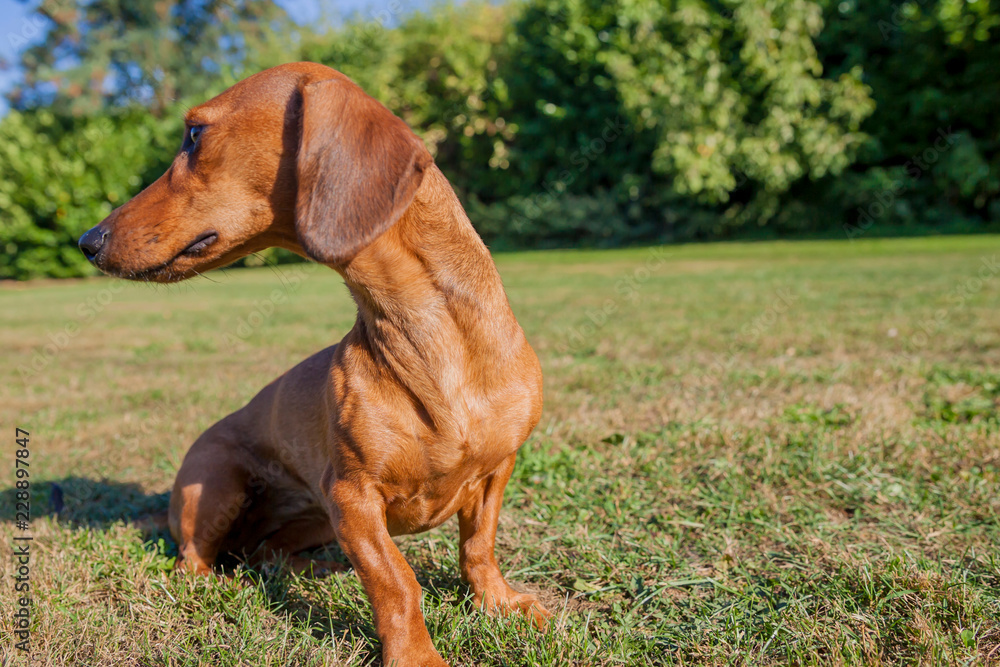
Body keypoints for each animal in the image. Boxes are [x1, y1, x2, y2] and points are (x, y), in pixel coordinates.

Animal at [77, 62, 552, 667]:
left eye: (194, 135)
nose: (88, 241)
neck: (431, 340)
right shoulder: (351, 498)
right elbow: (397, 582)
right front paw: (416, 655)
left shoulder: (497, 471)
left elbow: (478, 547)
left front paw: (500, 603)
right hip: (214, 485)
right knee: (192, 562)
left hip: (311, 523)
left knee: (267, 555)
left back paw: (314, 569)